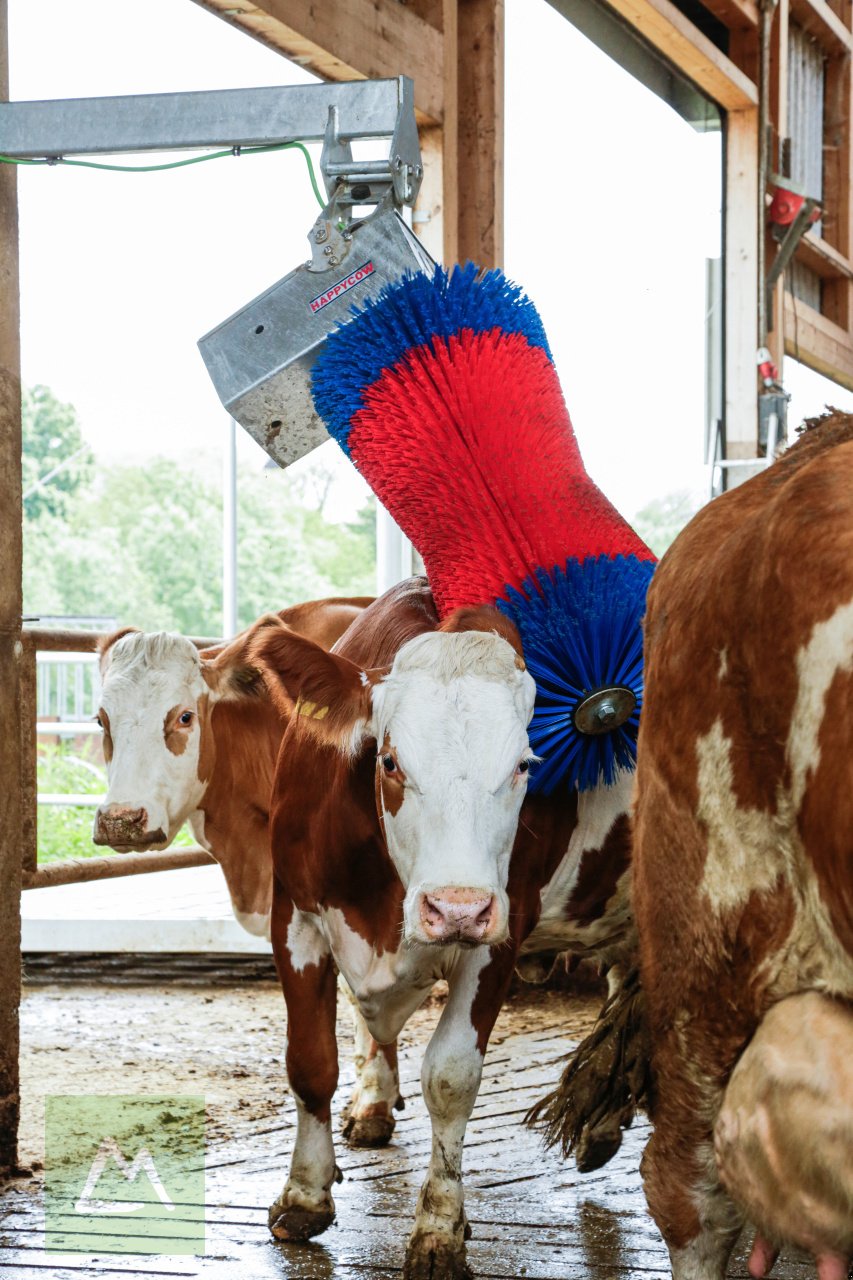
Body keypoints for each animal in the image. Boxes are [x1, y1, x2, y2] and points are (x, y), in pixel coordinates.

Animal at [245, 578, 630, 1280]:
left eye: (526, 764)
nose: (454, 907)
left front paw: (438, 1230)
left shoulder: (499, 932)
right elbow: (310, 1062)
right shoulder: (297, 916)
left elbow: (451, 1079)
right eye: (391, 761)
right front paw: (304, 1195)